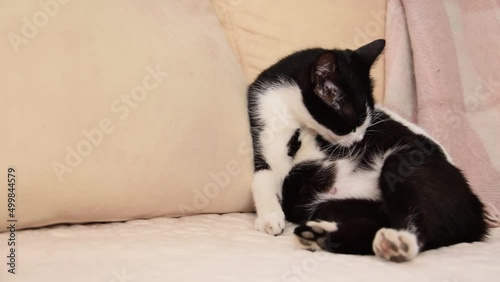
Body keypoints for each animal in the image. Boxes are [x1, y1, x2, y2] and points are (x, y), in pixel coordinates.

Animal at [247, 38, 488, 262]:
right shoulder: (264, 125)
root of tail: (476, 210)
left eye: (366, 124)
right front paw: (269, 216)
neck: (296, 119)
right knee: (372, 225)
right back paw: (318, 235)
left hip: (406, 161)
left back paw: (398, 244)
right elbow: (262, 177)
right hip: (332, 205)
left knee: (422, 223)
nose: (360, 139)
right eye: (352, 126)